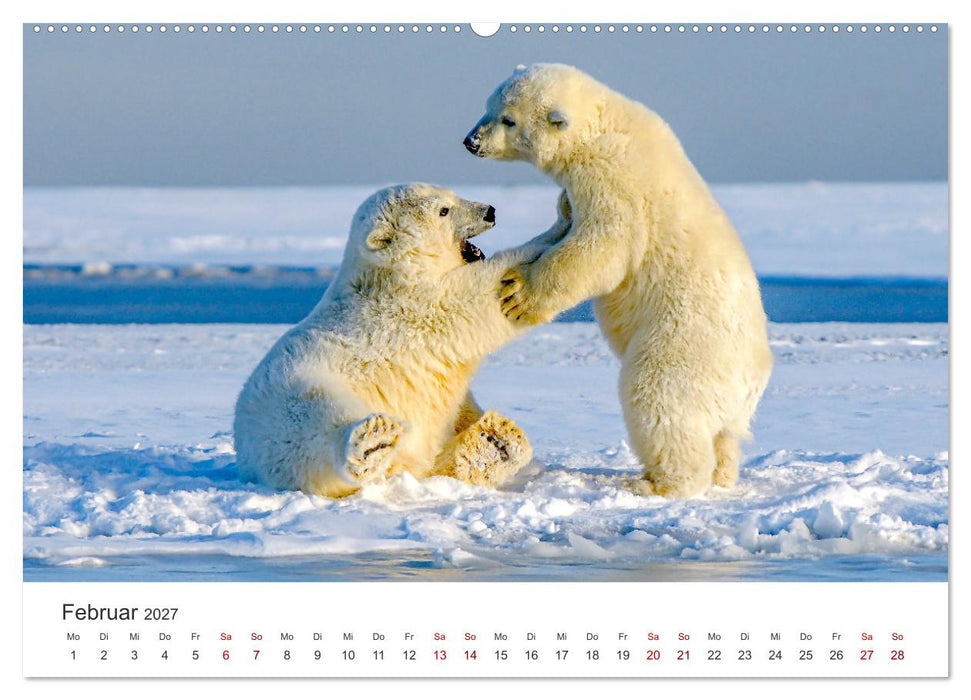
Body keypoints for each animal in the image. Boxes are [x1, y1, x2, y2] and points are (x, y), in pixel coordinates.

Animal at [234, 183, 570, 498]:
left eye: (452, 194)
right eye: (443, 210)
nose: (489, 211)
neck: (388, 275)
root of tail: (246, 454)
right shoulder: (415, 307)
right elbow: (478, 295)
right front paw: (560, 225)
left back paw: (497, 440)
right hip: (294, 395)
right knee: (317, 422)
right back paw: (373, 442)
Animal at [464, 63, 773, 498]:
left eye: (508, 119)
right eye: (489, 106)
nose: (471, 141)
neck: (606, 123)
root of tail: (752, 379)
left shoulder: (613, 178)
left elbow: (602, 246)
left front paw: (518, 294)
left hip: (683, 344)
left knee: (658, 399)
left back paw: (655, 483)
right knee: (724, 436)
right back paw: (722, 475)